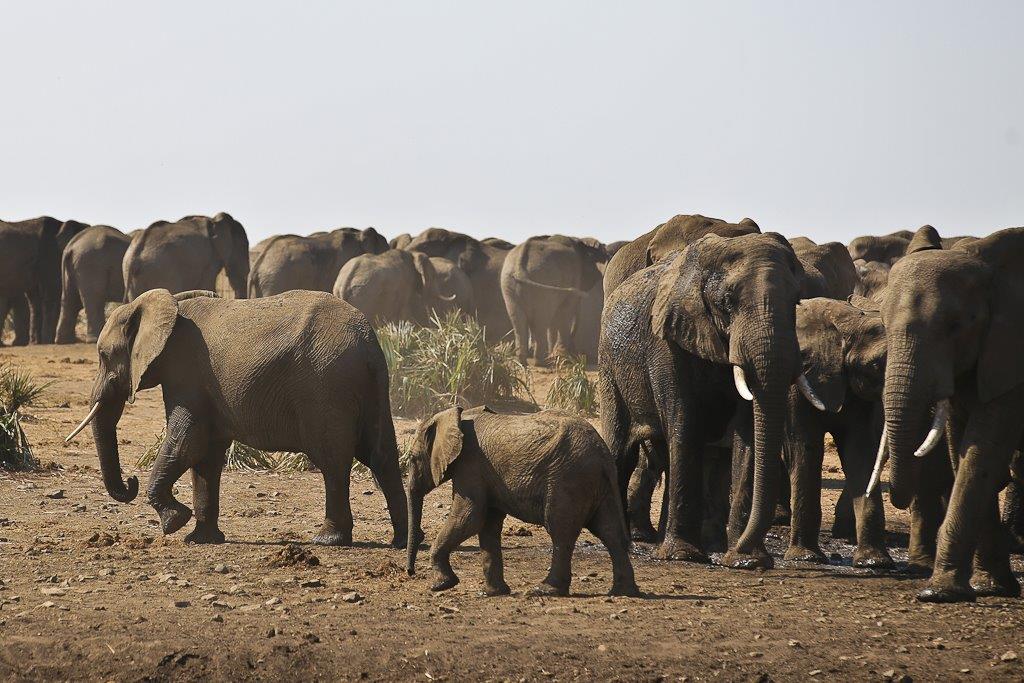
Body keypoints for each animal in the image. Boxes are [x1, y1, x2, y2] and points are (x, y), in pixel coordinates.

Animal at [61, 288, 407, 548]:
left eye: (103, 356)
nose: (130, 481)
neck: (167, 304)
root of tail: (368, 342)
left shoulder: (187, 373)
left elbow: (188, 441)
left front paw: (174, 522)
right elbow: (206, 456)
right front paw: (200, 539)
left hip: (326, 386)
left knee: (333, 461)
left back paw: (327, 540)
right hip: (368, 388)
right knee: (382, 456)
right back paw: (401, 541)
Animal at [403, 405, 634, 598]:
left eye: (413, 459)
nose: (410, 572)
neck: (454, 416)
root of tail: (602, 452)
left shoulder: (470, 466)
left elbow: (470, 517)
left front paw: (441, 585)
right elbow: (488, 525)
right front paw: (492, 593)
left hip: (568, 479)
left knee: (561, 531)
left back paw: (545, 590)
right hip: (596, 483)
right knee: (609, 531)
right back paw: (622, 592)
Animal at [598, 232, 806, 569]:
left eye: (796, 302)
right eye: (727, 302)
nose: (742, 549)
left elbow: (748, 434)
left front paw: (746, 560)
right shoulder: (666, 341)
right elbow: (684, 421)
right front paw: (683, 555)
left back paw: (702, 542)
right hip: (609, 366)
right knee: (621, 449)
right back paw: (626, 543)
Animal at [876, 225, 1024, 602]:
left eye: (956, 326)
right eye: (882, 324)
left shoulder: (1011, 354)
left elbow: (984, 447)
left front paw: (939, 593)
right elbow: (962, 446)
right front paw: (990, 587)